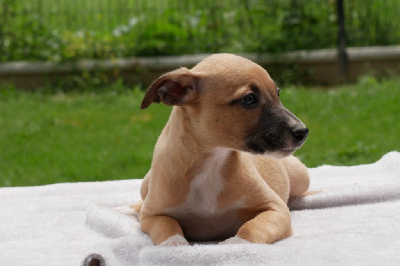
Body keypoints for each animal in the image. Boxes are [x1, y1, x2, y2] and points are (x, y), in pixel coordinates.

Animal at [133, 53, 310, 245]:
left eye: (277, 94)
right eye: (249, 99)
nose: (302, 131)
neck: (210, 163)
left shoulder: (275, 209)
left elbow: (251, 227)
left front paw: (236, 244)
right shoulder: (151, 215)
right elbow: (165, 225)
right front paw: (174, 243)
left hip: (302, 178)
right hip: (145, 184)